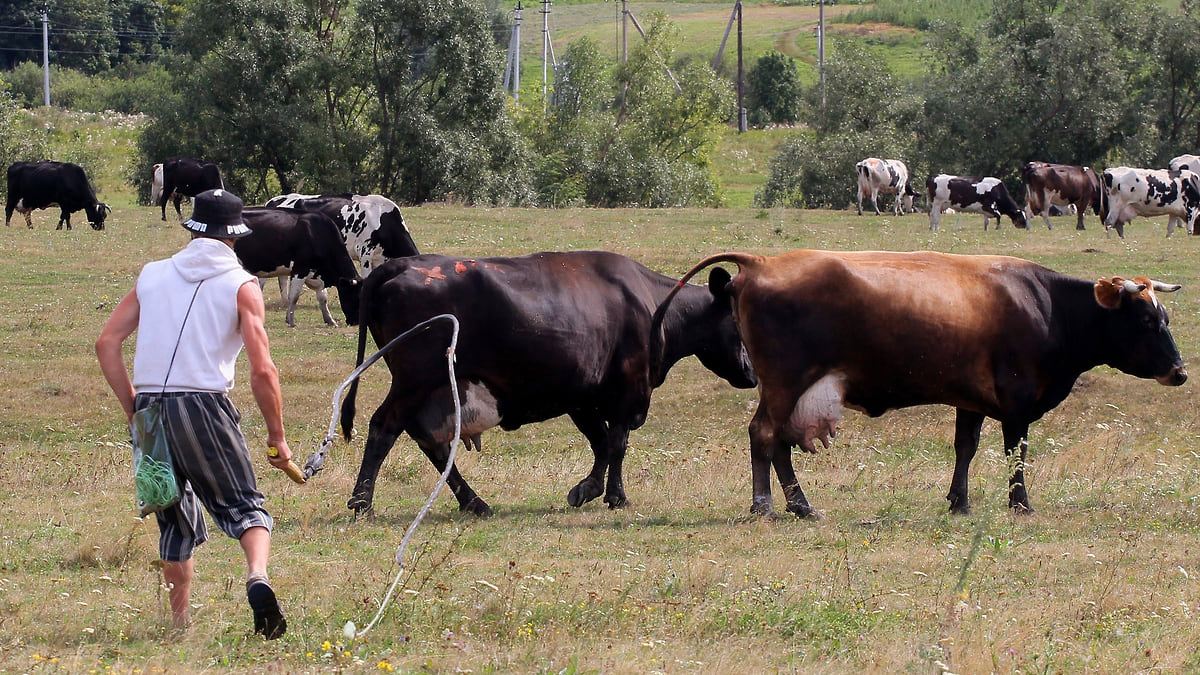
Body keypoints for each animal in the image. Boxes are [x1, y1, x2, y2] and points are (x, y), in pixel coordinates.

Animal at [333, 248, 753, 514]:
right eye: (737, 321)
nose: (751, 372)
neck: (652, 307)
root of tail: (400, 266)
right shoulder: (628, 389)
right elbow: (617, 444)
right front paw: (614, 496)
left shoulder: (581, 395)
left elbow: (602, 443)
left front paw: (588, 489)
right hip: (414, 380)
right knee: (384, 427)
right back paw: (362, 502)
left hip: (427, 388)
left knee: (428, 441)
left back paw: (474, 502)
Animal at [652, 249, 1185, 516]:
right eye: (1145, 321)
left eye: (1164, 317)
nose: (1180, 371)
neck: (1047, 306)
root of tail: (763, 261)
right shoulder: (1016, 401)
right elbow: (1016, 454)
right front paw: (1021, 504)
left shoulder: (972, 399)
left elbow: (965, 448)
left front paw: (959, 502)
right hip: (785, 382)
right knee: (764, 436)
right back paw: (769, 506)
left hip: (788, 389)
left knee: (778, 442)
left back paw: (800, 506)